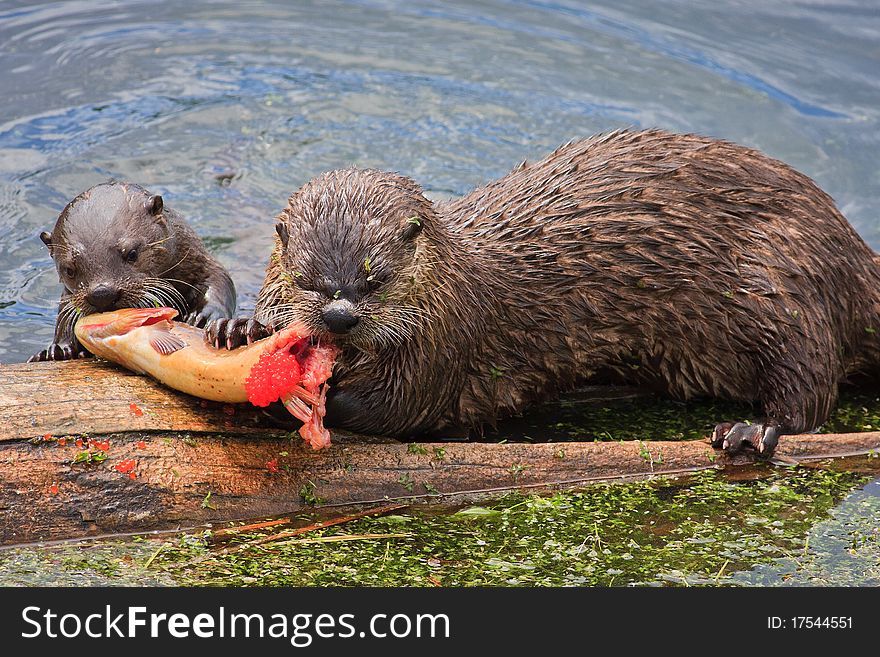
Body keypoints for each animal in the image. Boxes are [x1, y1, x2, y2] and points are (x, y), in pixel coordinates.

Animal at [31, 182, 237, 362]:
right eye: (69, 270)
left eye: (132, 253)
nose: (102, 293)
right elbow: (65, 316)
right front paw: (58, 350)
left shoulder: (196, 260)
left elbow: (219, 279)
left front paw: (204, 317)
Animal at [205, 129, 880, 456]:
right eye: (309, 278)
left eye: (376, 277)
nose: (341, 316)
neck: (456, 287)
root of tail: (855, 255)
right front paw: (241, 329)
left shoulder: (440, 349)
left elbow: (398, 410)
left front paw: (307, 399)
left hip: (781, 286)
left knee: (808, 389)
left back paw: (751, 431)